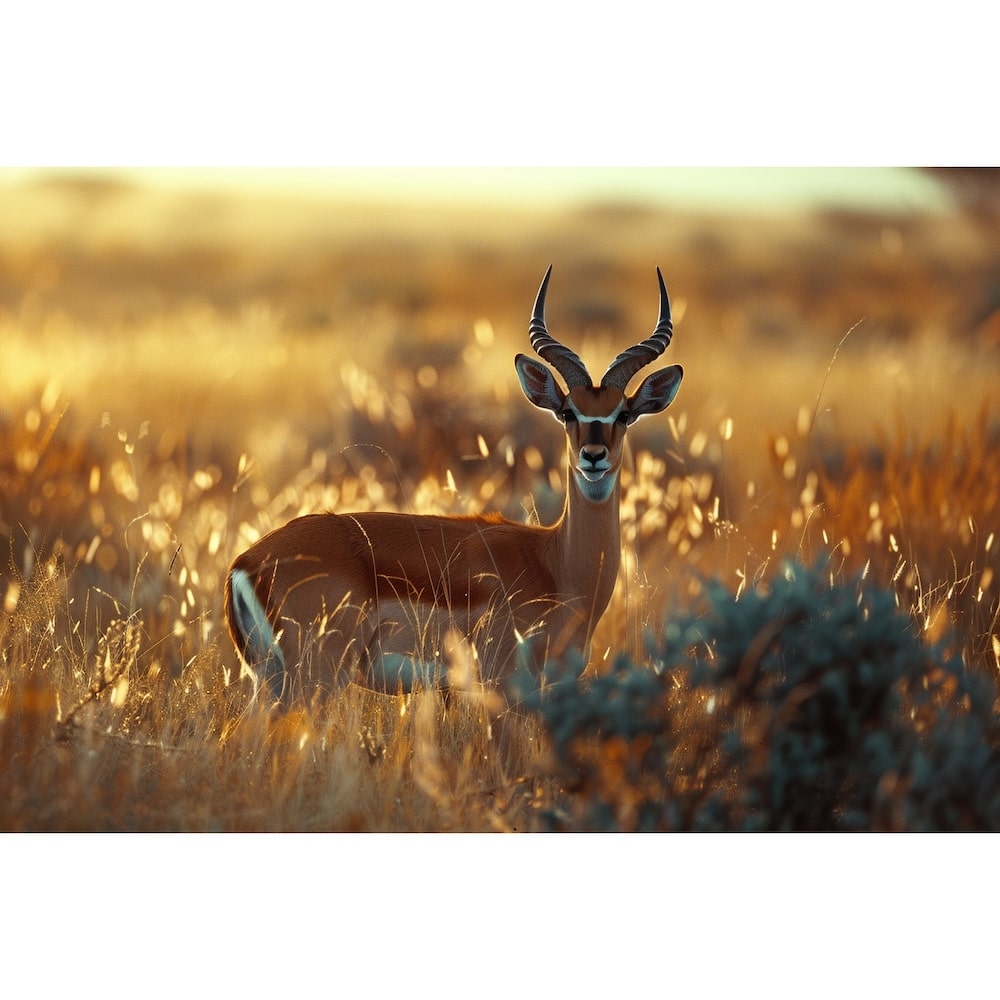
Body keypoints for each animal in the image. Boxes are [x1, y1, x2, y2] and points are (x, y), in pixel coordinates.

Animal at [224, 266, 683, 702]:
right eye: (568, 411)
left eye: (624, 414)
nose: (593, 456)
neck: (555, 566)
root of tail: (246, 562)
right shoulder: (506, 687)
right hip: (312, 679)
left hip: (269, 679)